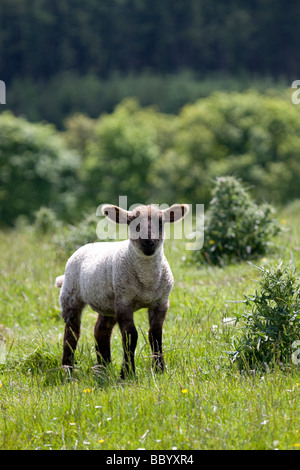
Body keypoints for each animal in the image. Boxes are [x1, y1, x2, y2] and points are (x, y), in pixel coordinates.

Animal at [55, 203, 189, 378]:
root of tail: (88, 245)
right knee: (71, 333)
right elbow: (131, 335)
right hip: (71, 295)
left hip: (108, 304)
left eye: (160, 222)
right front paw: (127, 373)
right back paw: (68, 369)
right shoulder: (124, 301)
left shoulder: (161, 302)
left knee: (101, 331)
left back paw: (103, 366)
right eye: (132, 223)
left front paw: (159, 369)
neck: (147, 283)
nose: (148, 243)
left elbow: (155, 335)